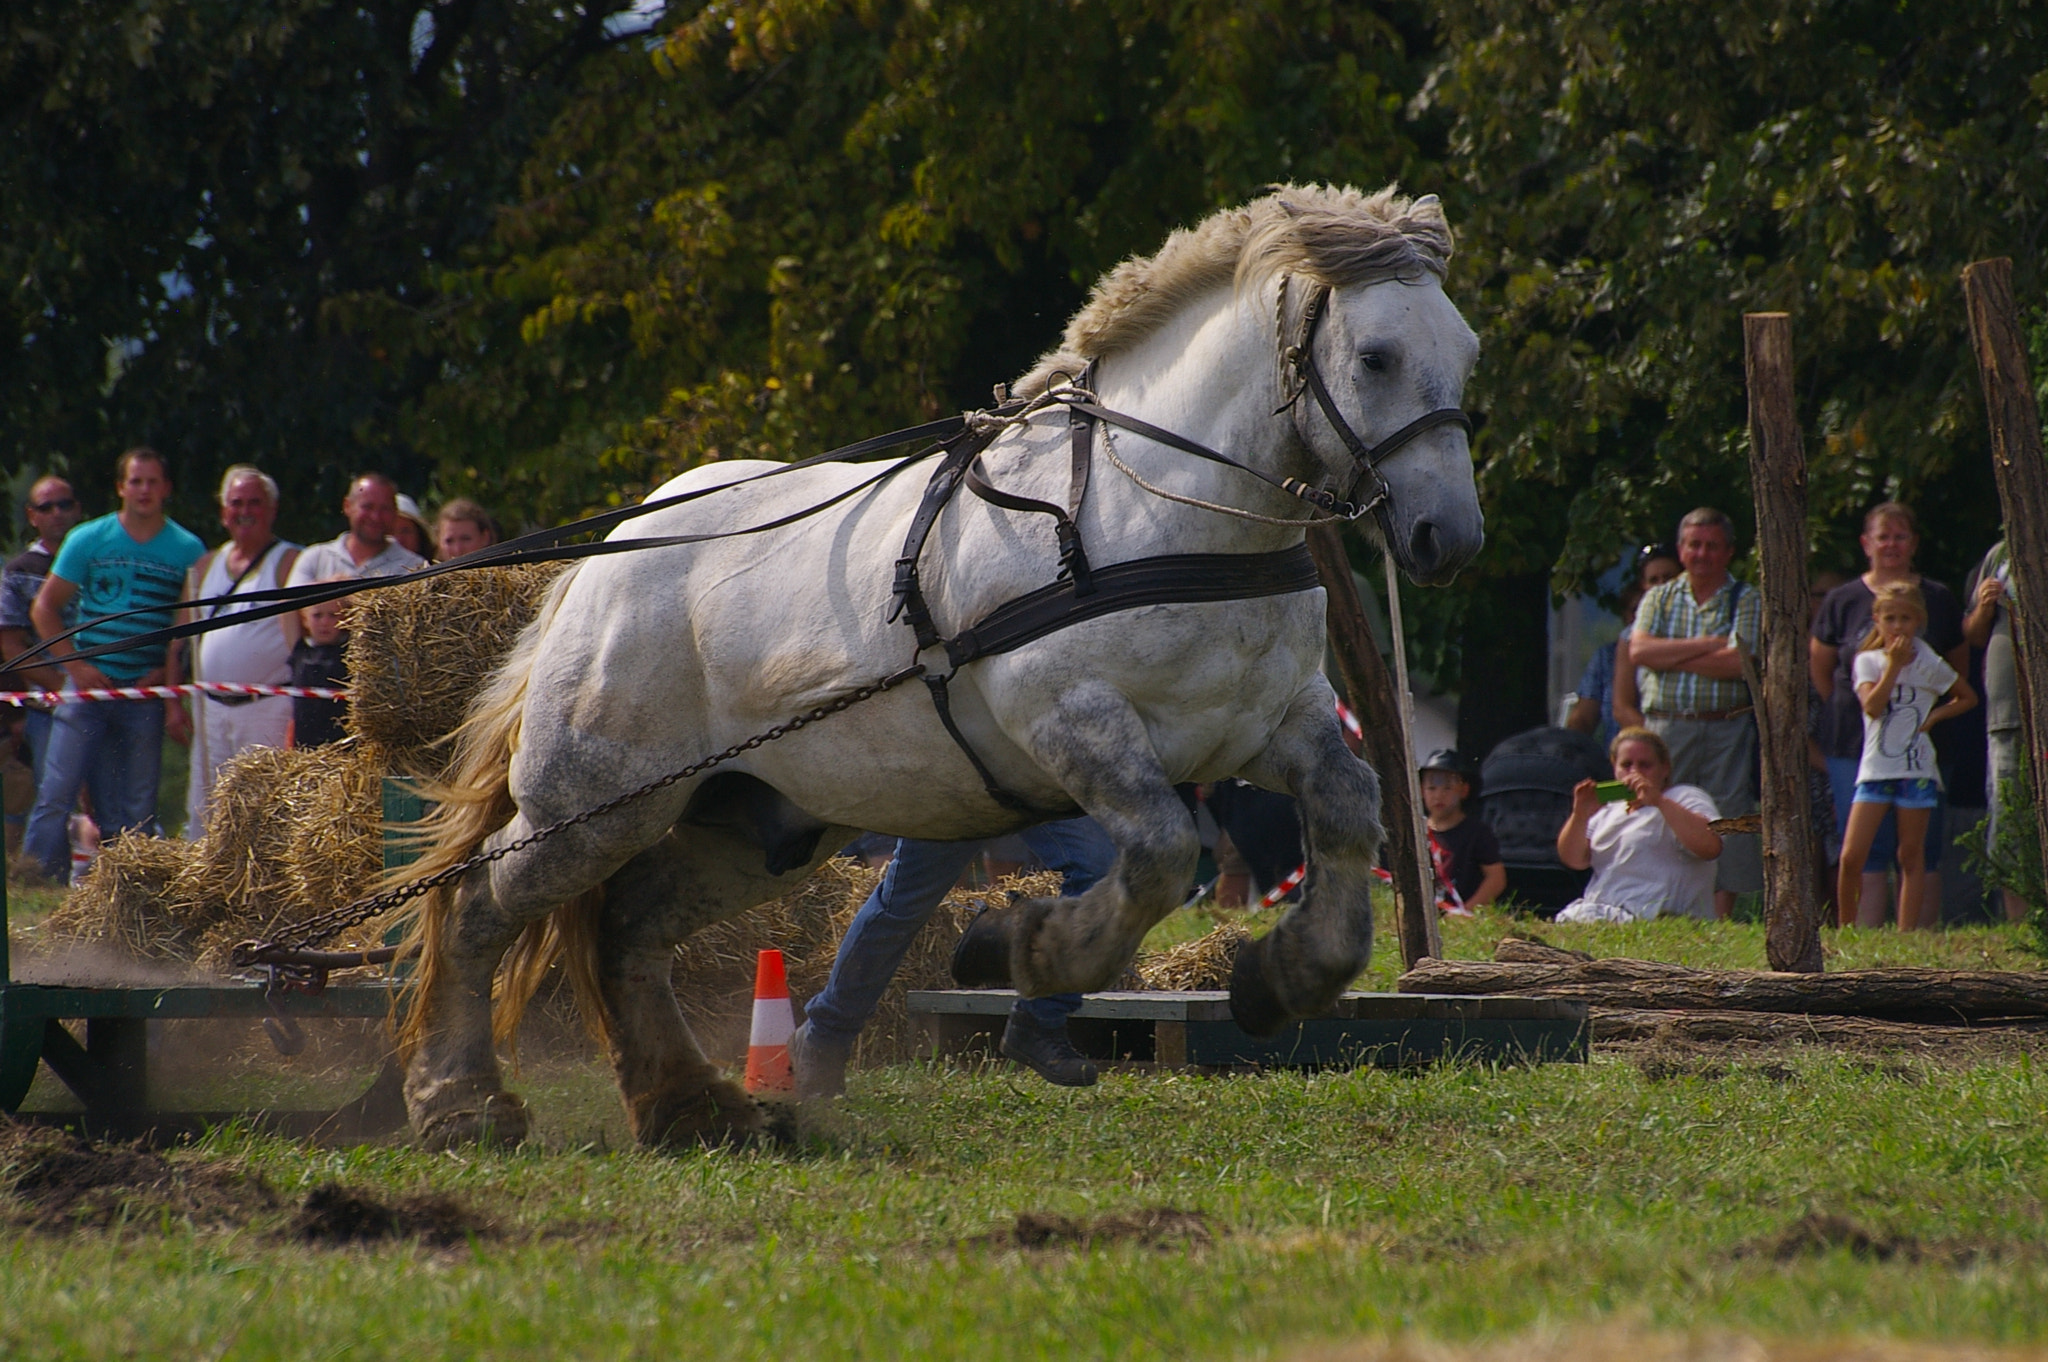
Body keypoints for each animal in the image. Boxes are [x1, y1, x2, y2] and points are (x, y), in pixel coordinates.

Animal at [395, 183, 1490, 1146]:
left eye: (1466, 354)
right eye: (1376, 355)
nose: (1449, 538)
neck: (1149, 509)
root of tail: (602, 564)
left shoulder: (1272, 721)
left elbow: (1347, 807)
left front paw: (1282, 976)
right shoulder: (1071, 717)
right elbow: (1157, 852)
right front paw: (1016, 945)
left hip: (752, 825)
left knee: (629, 930)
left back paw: (691, 1110)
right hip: (594, 803)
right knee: (473, 906)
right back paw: (462, 1105)